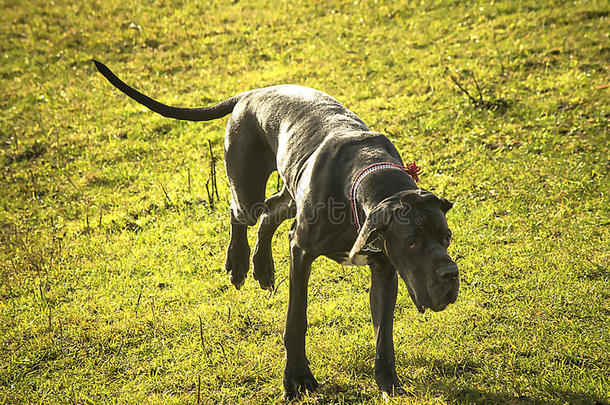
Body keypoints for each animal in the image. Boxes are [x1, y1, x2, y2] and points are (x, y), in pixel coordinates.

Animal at [92, 60, 458, 398]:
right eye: (411, 242)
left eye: (446, 238)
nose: (450, 275)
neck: (367, 180)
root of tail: (251, 93)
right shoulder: (302, 251)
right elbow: (297, 319)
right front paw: (298, 379)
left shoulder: (384, 269)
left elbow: (384, 333)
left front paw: (388, 384)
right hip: (247, 186)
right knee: (240, 212)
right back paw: (239, 263)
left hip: (291, 192)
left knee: (270, 212)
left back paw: (262, 268)